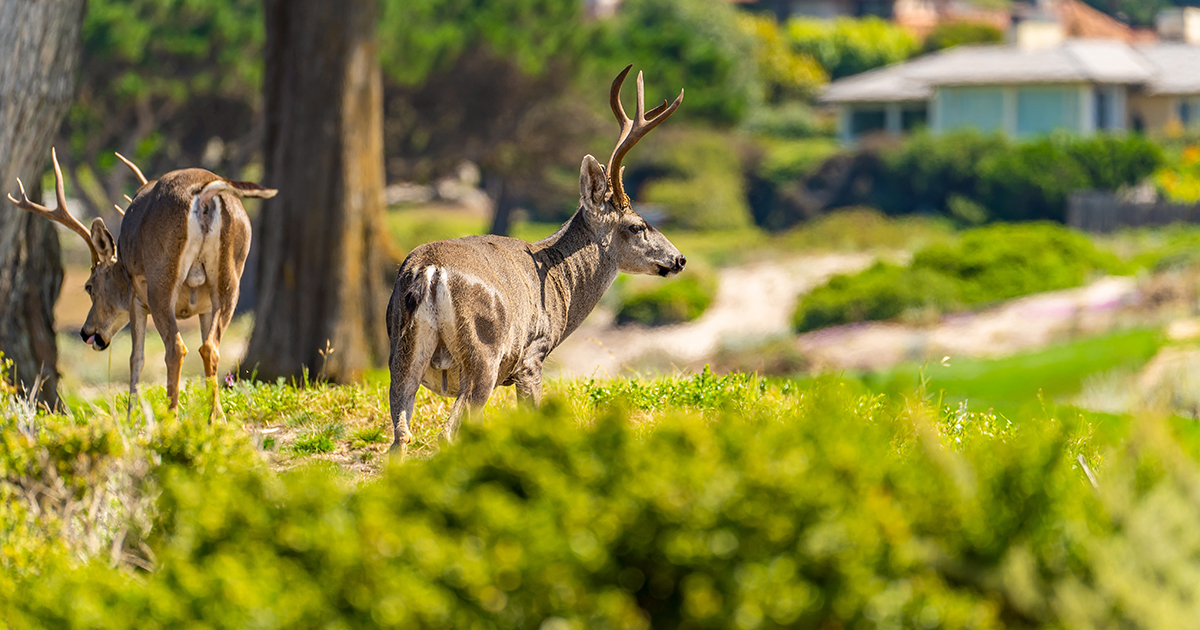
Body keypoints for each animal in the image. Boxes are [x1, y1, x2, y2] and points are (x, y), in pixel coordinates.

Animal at [7, 148, 276, 421]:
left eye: (89, 286)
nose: (86, 332)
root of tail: (204, 195)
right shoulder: (204, 307)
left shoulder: (135, 300)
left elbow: (136, 358)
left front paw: (130, 418)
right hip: (230, 277)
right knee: (210, 347)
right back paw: (215, 419)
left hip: (161, 278)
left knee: (176, 348)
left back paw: (171, 416)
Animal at [386, 65, 686, 456]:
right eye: (637, 226)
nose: (679, 259)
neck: (562, 284)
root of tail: (430, 270)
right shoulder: (533, 355)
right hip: (483, 353)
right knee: (448, 431)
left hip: (400, 354)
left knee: (400, 436)